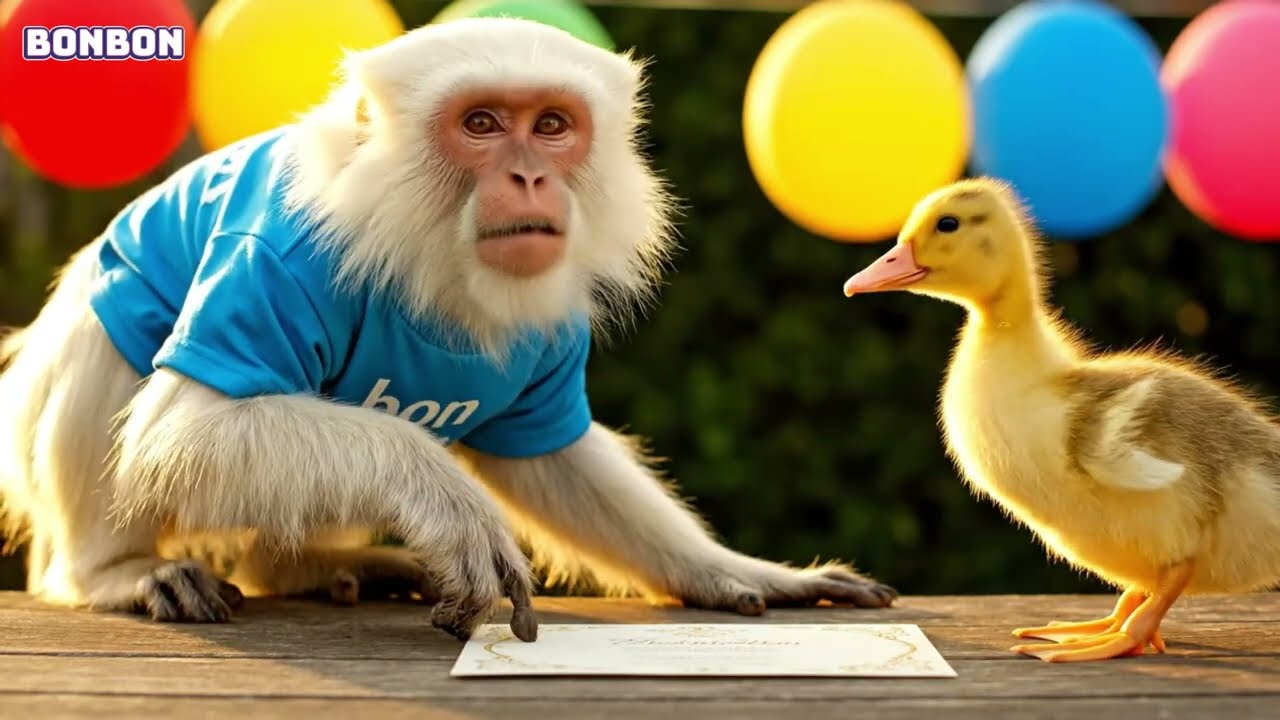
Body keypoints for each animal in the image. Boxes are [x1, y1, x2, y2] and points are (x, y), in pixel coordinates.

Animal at [0, 18, 896, 642]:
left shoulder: (549, 325)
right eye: (482, 124)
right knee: (116, 337)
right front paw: (447, 501)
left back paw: (298, 566)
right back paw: (113, 572)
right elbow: (179, 434)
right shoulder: (273, 261)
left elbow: (548, 458)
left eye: (550, 127)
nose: (529, 177)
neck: (435, 256)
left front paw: (726, 569)